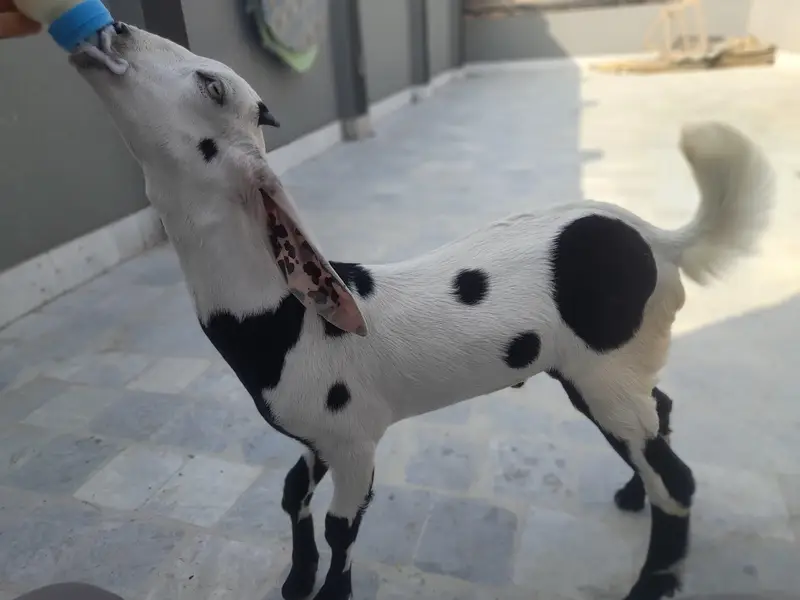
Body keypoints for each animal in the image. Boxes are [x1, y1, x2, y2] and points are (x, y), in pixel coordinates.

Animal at [71, 23, 775, 600]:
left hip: (607, 372)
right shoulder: (321, 437)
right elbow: (292, 495)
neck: (290, 322)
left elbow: (341, 525)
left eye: (211, 84)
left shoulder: (355, 439)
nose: (109, 30)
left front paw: (330, 592)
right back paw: (632, 492)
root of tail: (659, 240)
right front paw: (296, 582)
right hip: (601, 374)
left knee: (676, 481)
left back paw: (650, 582)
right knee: (659, 419)